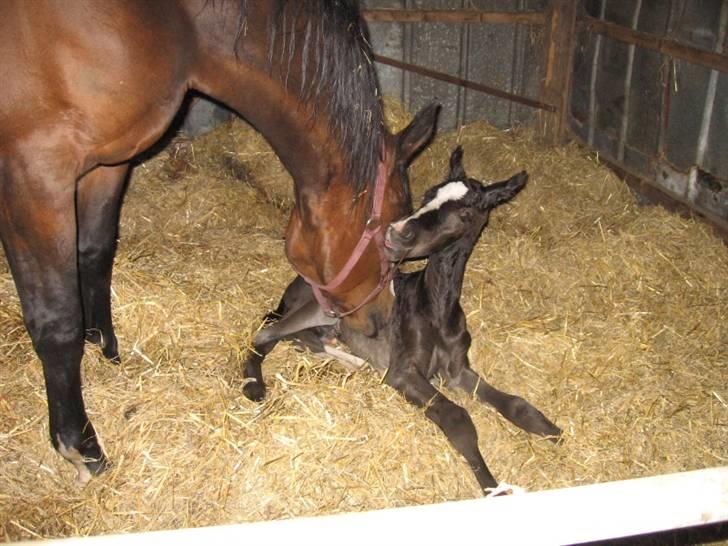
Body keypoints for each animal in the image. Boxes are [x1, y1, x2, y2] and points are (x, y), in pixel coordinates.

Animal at [242, 147, 560, 490]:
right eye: (429, 194)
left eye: (465, 213)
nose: (395, 233)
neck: (436, 311)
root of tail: (297, 282)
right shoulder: (403, 372)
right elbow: (457, 418)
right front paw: (492, 486)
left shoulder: (458, 371)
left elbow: (515, 403)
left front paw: (553, 431)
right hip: (318, 308)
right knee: (268, 334)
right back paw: (254, 387)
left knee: (303, 338)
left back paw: (353, 361)